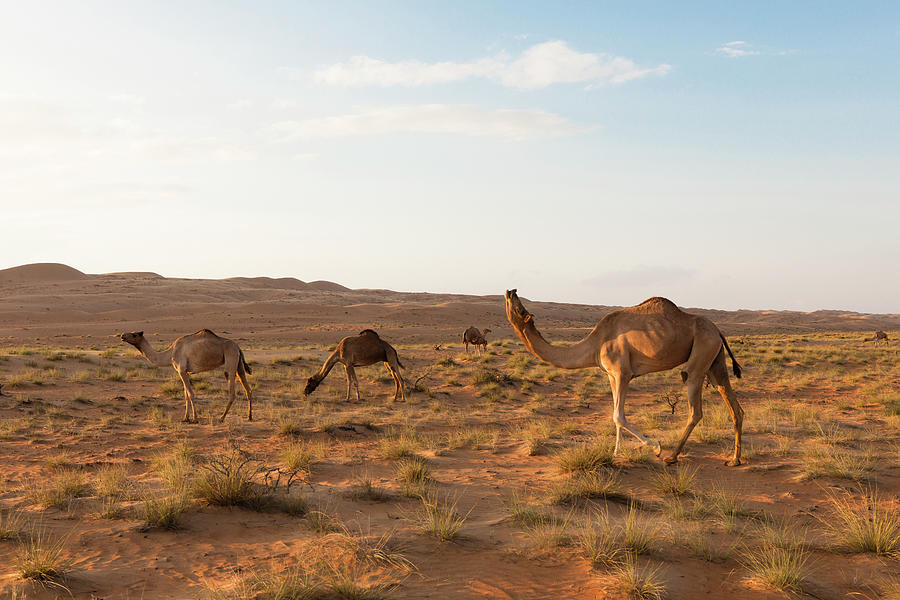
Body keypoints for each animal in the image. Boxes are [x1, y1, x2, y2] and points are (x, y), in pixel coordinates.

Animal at [119, 330, 253, 424]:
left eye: (134, 334)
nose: (122, 336)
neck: (170, 353)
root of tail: (238, 347)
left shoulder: (182, 370)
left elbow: (191, 394)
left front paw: (195, 419)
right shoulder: (184, 372)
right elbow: (186, 394)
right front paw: (185, 418)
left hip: (231, 358)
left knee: (231, 390)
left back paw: (221, 418)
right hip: (239, 364)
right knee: (248, 389)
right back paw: (249, 416)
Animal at [502, 288, 740, 466]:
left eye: (519, 308)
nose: (511, 291)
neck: (596, 342)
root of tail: (718, 331)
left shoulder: (622, 372)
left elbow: (618, 416)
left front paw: (655, 447)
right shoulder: (610, 375)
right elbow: (615, 416)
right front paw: (616, 452)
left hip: (702, 353)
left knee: (694, 405)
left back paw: (672, 457)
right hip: (715, 359)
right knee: (733, 404)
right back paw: (734, 460)